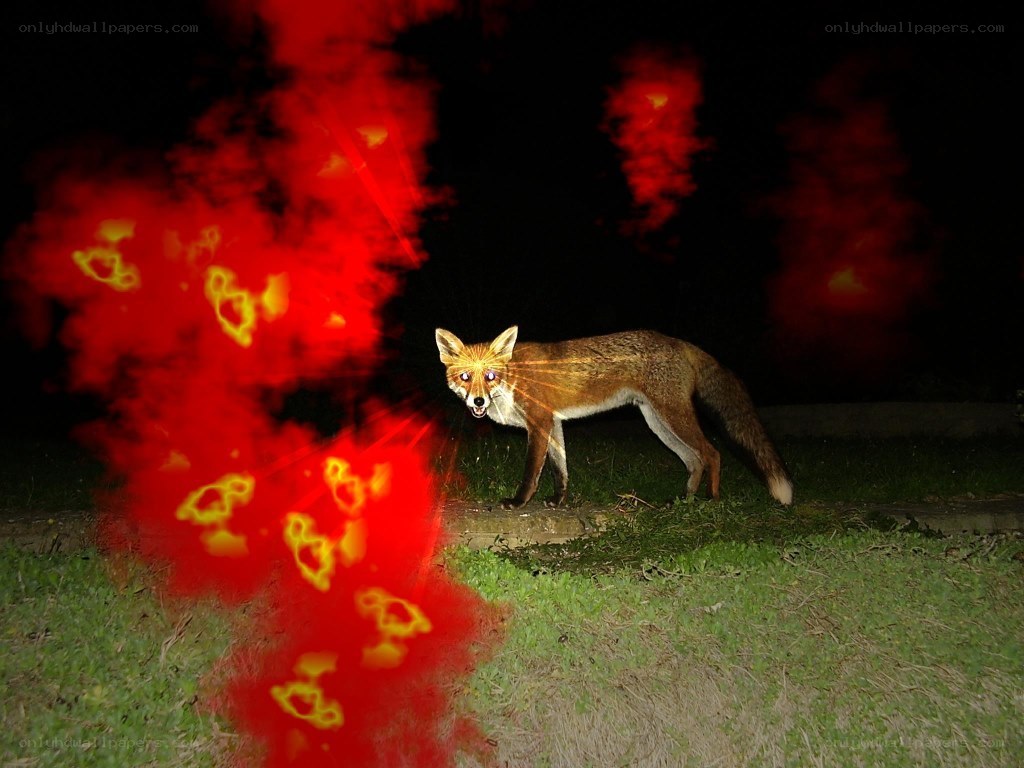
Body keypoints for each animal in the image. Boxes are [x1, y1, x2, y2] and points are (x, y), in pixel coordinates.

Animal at [435, 326, 793, 509]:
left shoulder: (539, 422)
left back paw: (710, 499)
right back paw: (684, 500)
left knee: (713, 453)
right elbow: (560, 470)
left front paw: (519, 502)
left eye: (490, 376)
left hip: (672, 417)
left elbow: (532, 472)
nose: (478, 401)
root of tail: (677, 341)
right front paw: (559, 500)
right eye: (466, 377)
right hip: (657, 422)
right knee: (695, 460)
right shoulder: (554, 423)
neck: (513, 376)